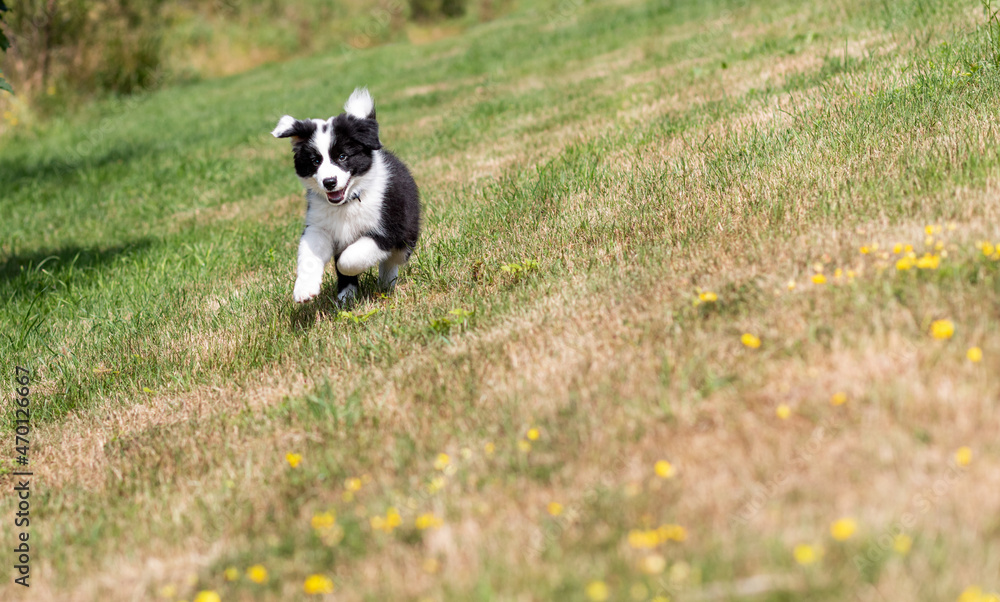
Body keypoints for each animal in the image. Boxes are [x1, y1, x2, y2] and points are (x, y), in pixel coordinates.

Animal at [270, 88, 418, 304]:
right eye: (315, 161)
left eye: (342, 157)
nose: (329, 182)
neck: (347, 203)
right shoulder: (319, 227)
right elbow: (309, 256)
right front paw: (304, 289)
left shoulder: (385, 230)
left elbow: (347, 260)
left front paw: (346, 270)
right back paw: (346, 296)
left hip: (406, 232)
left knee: (394, 258)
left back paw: (385, 284)